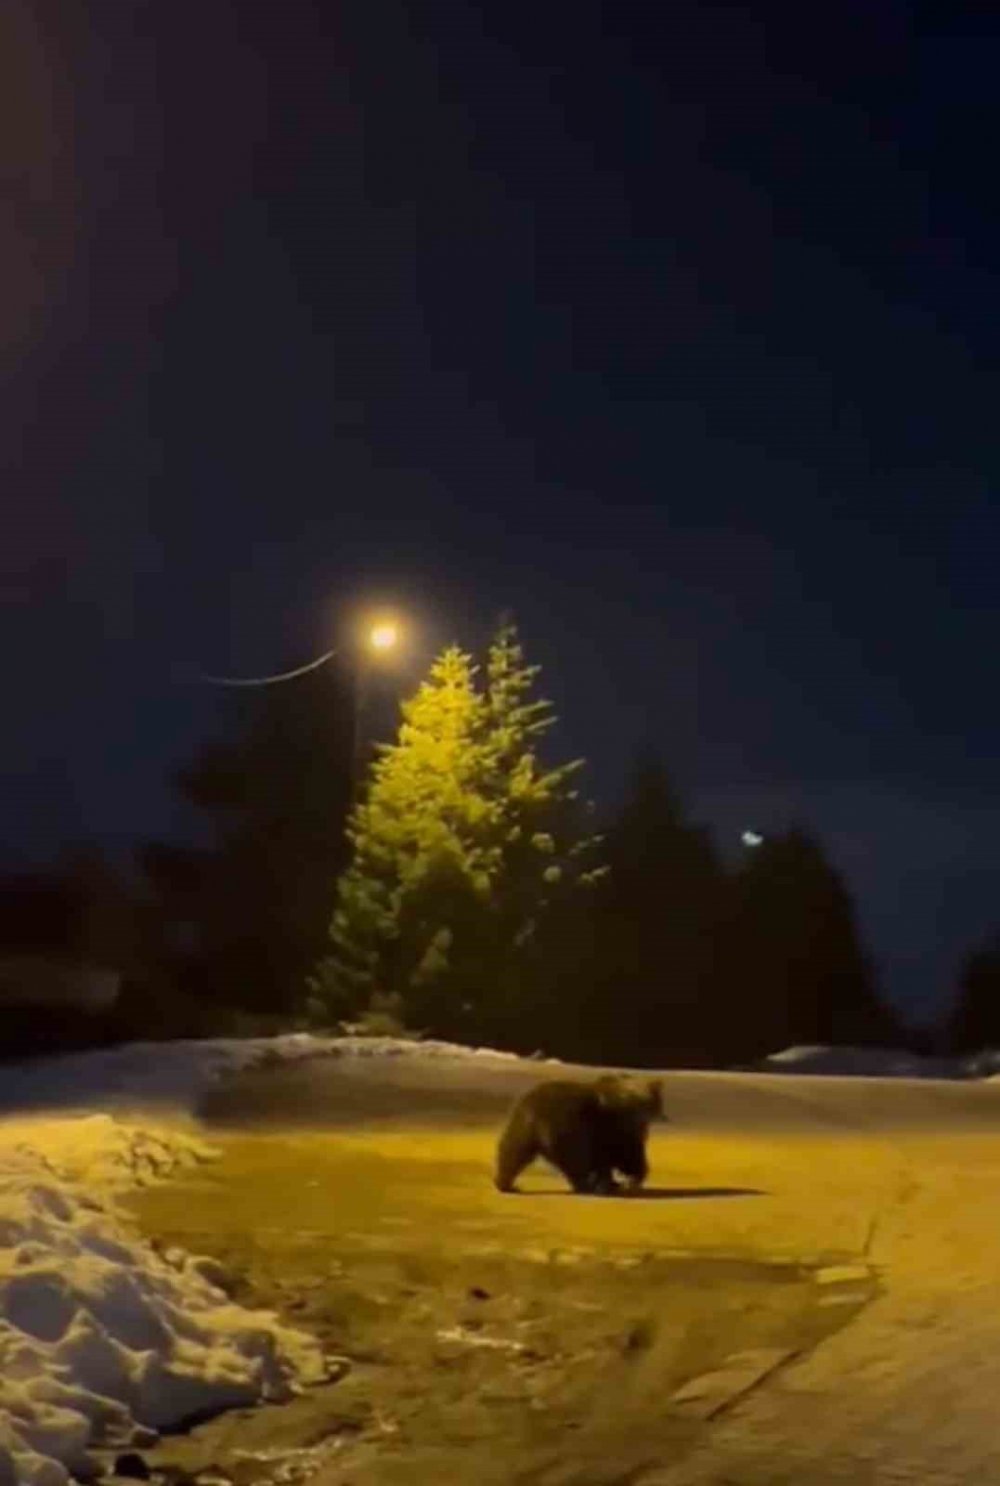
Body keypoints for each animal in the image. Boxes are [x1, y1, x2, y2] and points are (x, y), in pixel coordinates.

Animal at [490, 1075, 662, 1188]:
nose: (662, 1115)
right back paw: (586, 1184)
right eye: (656, 1101)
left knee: (512, 1152)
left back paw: (504, 1183)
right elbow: (626, 1153)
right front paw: (627, 1180)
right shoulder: (613, 1126)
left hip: (520, 1124)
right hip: (565, 1126)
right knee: (577, 1158)